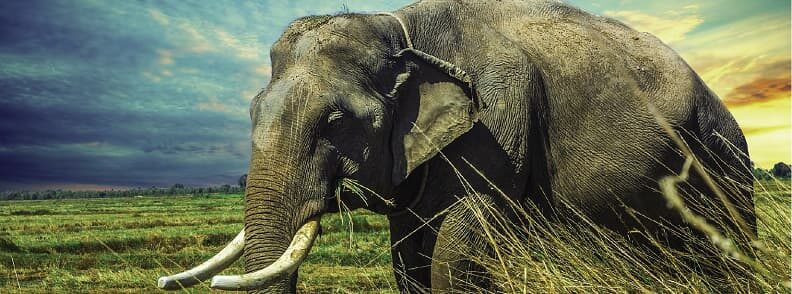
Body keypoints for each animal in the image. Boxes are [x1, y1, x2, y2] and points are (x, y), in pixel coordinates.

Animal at [156, 1, 756, 292]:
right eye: (252, 113)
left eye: (336, 120)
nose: (162, 280)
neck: (397, 26)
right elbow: (408, 256)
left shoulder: (498, 122)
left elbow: (458, 246)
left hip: (723, 155)